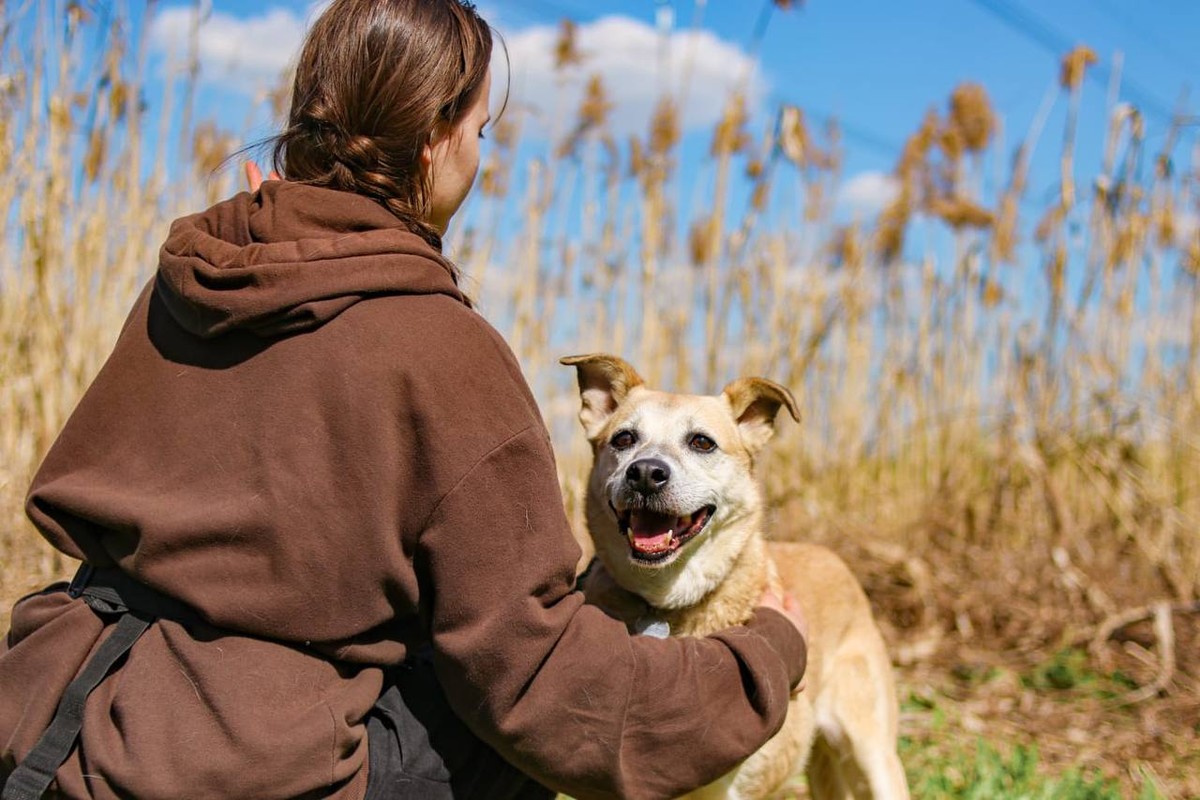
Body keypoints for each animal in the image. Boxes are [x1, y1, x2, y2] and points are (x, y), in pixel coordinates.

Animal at [561, 357, 907, 800]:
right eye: (623, 438)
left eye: (702, 443)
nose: (645, 473)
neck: (665, 602)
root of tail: (834, 558)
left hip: (874, 757)